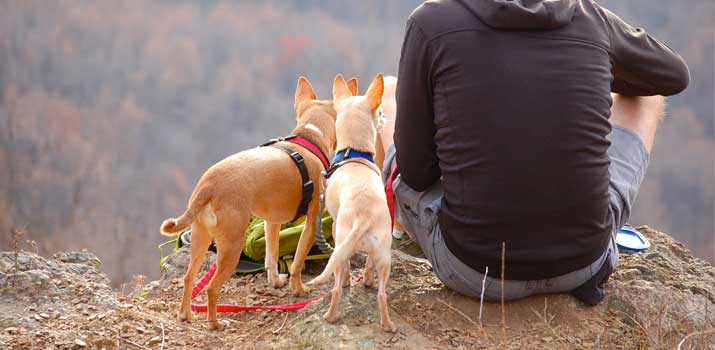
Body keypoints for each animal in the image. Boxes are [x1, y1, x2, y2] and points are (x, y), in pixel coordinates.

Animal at [162, 76, 342, 330]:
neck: (309, 138)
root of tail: (208, 185)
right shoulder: (310, 222)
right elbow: (297, 262)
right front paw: (298, 289)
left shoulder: (272, 222)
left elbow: (271, 256)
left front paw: (276, 281)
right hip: (231, 247)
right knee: (211, 288)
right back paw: (215, 323)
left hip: (201, 237)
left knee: (189, 278)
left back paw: (186, 315)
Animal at [308, 74, 398, 334]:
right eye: (380, 112)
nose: (385, 118)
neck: (354, 154)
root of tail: (363, 217)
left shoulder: (335, 226)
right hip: (384, 255)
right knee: (381, 293)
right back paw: (387, 324)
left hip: (342, 242)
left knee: (337, 285)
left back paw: (330, 316)